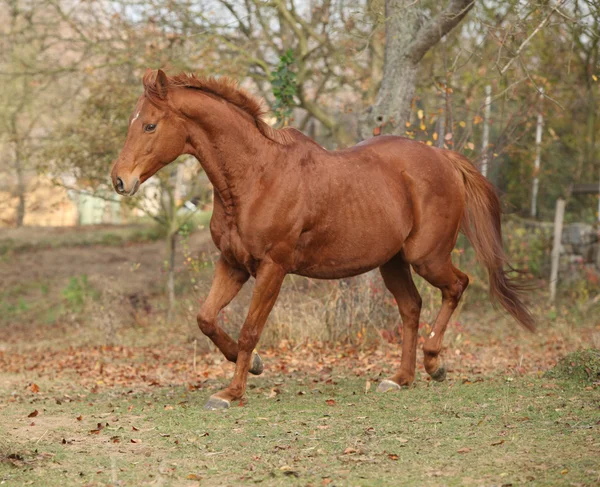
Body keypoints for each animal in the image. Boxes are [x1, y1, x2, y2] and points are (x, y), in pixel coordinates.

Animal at [110, 69, 532, 412]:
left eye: (149, 126)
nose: (119, 180)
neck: (255, 177)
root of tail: (443, 158)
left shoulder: (273, 269)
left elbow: (249, 331)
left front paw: (231, 393)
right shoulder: (232, 264)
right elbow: (206, 319)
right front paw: (253, 366)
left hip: (426, 257)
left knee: (457, 286)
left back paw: (434, 363)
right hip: (392, 262)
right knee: (411, 307)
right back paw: (400, 379)